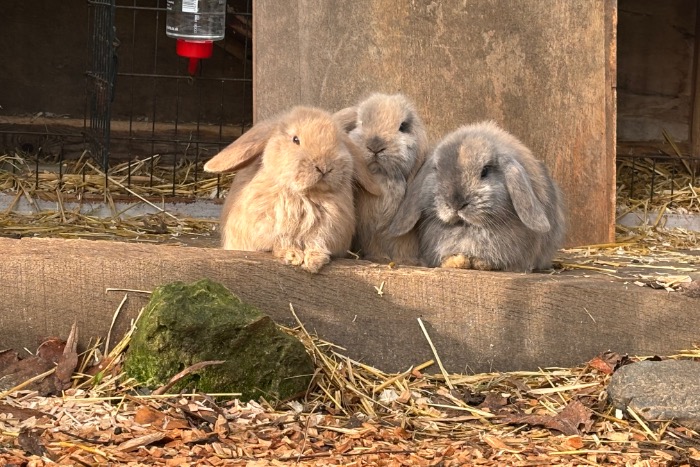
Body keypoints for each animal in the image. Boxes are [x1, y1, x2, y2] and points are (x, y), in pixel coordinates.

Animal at [202, 106, 380, 274]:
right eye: (296, 139)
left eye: (338, 141)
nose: (324, 167)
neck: (305, 195)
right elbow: (280, 242)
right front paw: (293, 255)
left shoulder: (328, 232)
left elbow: (317, 243)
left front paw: (313, 261)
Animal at [332, 93, 426, 266]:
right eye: (361, 123)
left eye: (403, 126)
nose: (375, 146)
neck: (381, 178)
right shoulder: (369, 230)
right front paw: (378, 258)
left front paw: (406, 261)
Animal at [392, 120, 568, 272]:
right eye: (436, 169)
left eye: (485, 171)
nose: (456, 204)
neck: (468, 228)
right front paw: (458, 262)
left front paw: (479, 262)